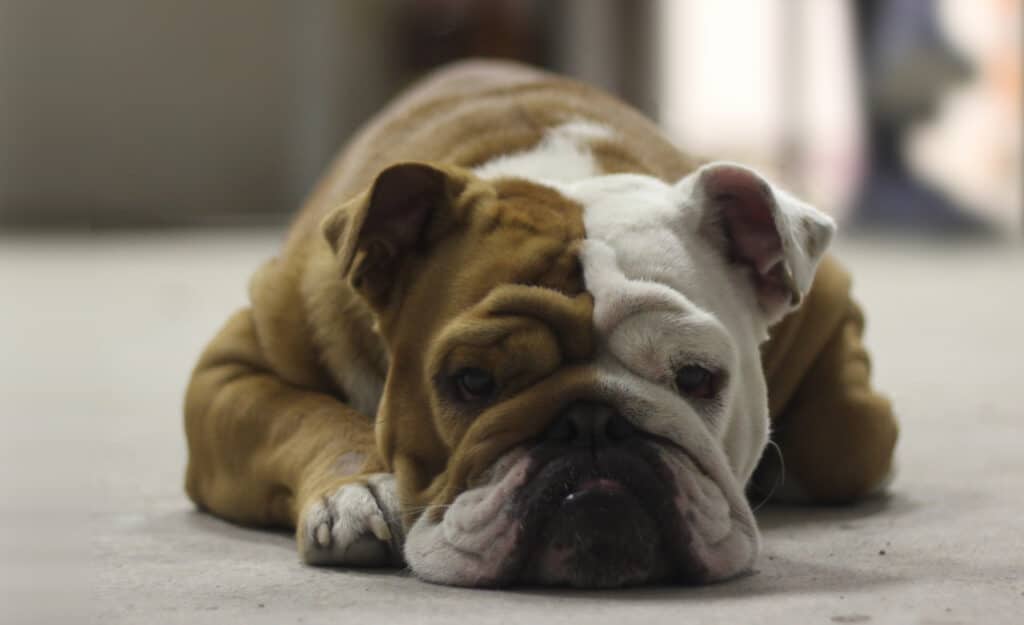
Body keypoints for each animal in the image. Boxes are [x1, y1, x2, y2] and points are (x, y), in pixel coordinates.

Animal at [184, 60, 898, 588]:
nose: (593, 423)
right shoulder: (234, 370)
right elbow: (303, 417)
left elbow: (846, 437)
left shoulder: (830, 298)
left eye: (697, 377)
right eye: (472, 381)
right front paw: (356, 491)